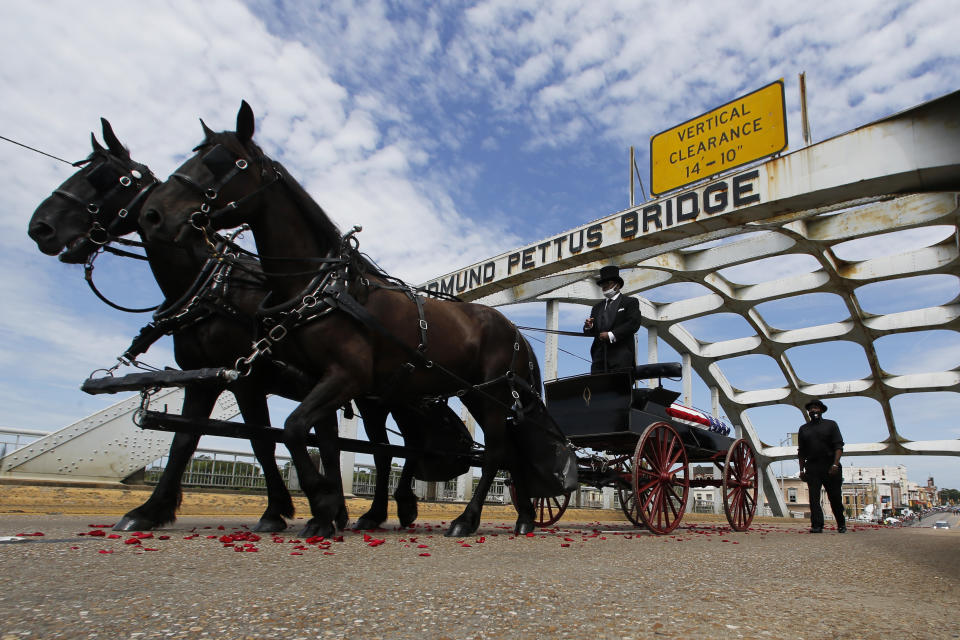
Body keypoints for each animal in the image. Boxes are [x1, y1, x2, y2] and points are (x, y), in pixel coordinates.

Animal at [26, 119, 422, 528]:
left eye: (107, 178)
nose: (40, 228)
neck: (213, 285)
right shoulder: (203, 376)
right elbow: (187, 439)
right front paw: (150, 509)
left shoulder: (246, 380)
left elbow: (262, 440)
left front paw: (279, 511)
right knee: (370, 445)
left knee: (395, 448)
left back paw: (386, 508)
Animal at [139, 101, 552, 540]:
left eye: (224, 162)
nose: (153, 214)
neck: (322, 285)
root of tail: (517, 332)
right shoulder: (313, 381)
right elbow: (314, 440)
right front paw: (328, 508)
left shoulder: (343, 376)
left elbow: (292, 429)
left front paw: (322, 503)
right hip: (471, 394)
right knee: (505, 451)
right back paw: (524, 516)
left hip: (487, 393)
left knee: (494, 452)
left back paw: (467, 519)